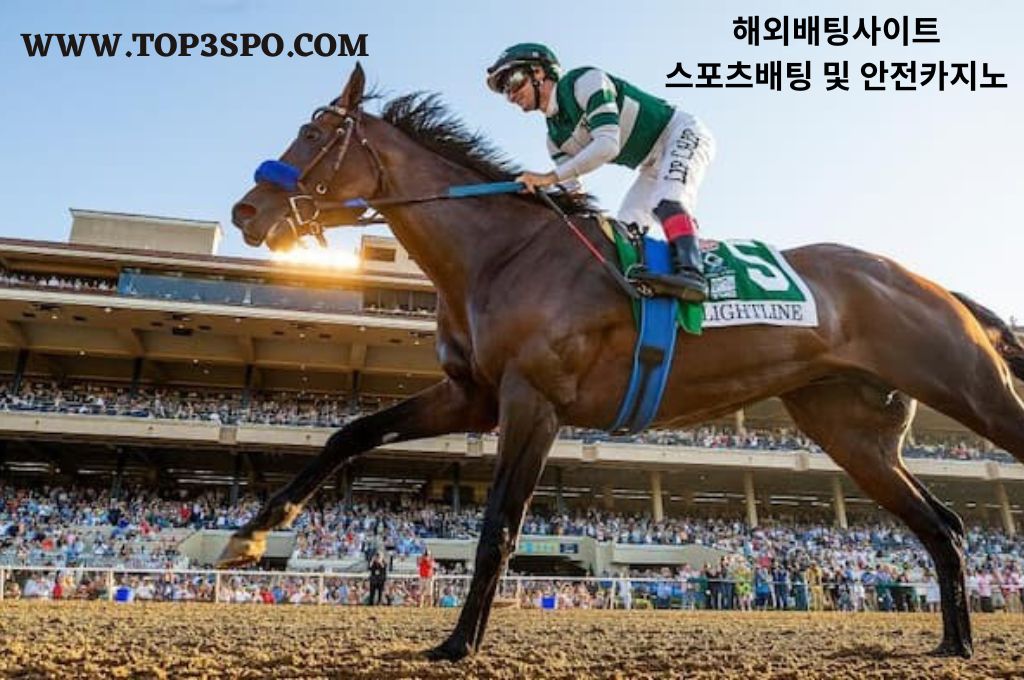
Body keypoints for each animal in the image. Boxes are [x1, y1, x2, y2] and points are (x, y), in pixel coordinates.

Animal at [224, 63, 1024, 659]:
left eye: (315, 133)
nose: (246, 212)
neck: (500, 253)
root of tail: (930, 283)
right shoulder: (471, 396)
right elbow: (350, 433)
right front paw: (250, 532)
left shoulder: (533, 400)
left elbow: (499, 526)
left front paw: (458, 643)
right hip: (851, 433)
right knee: (942, 527)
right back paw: (955, 643)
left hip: (969, 388)